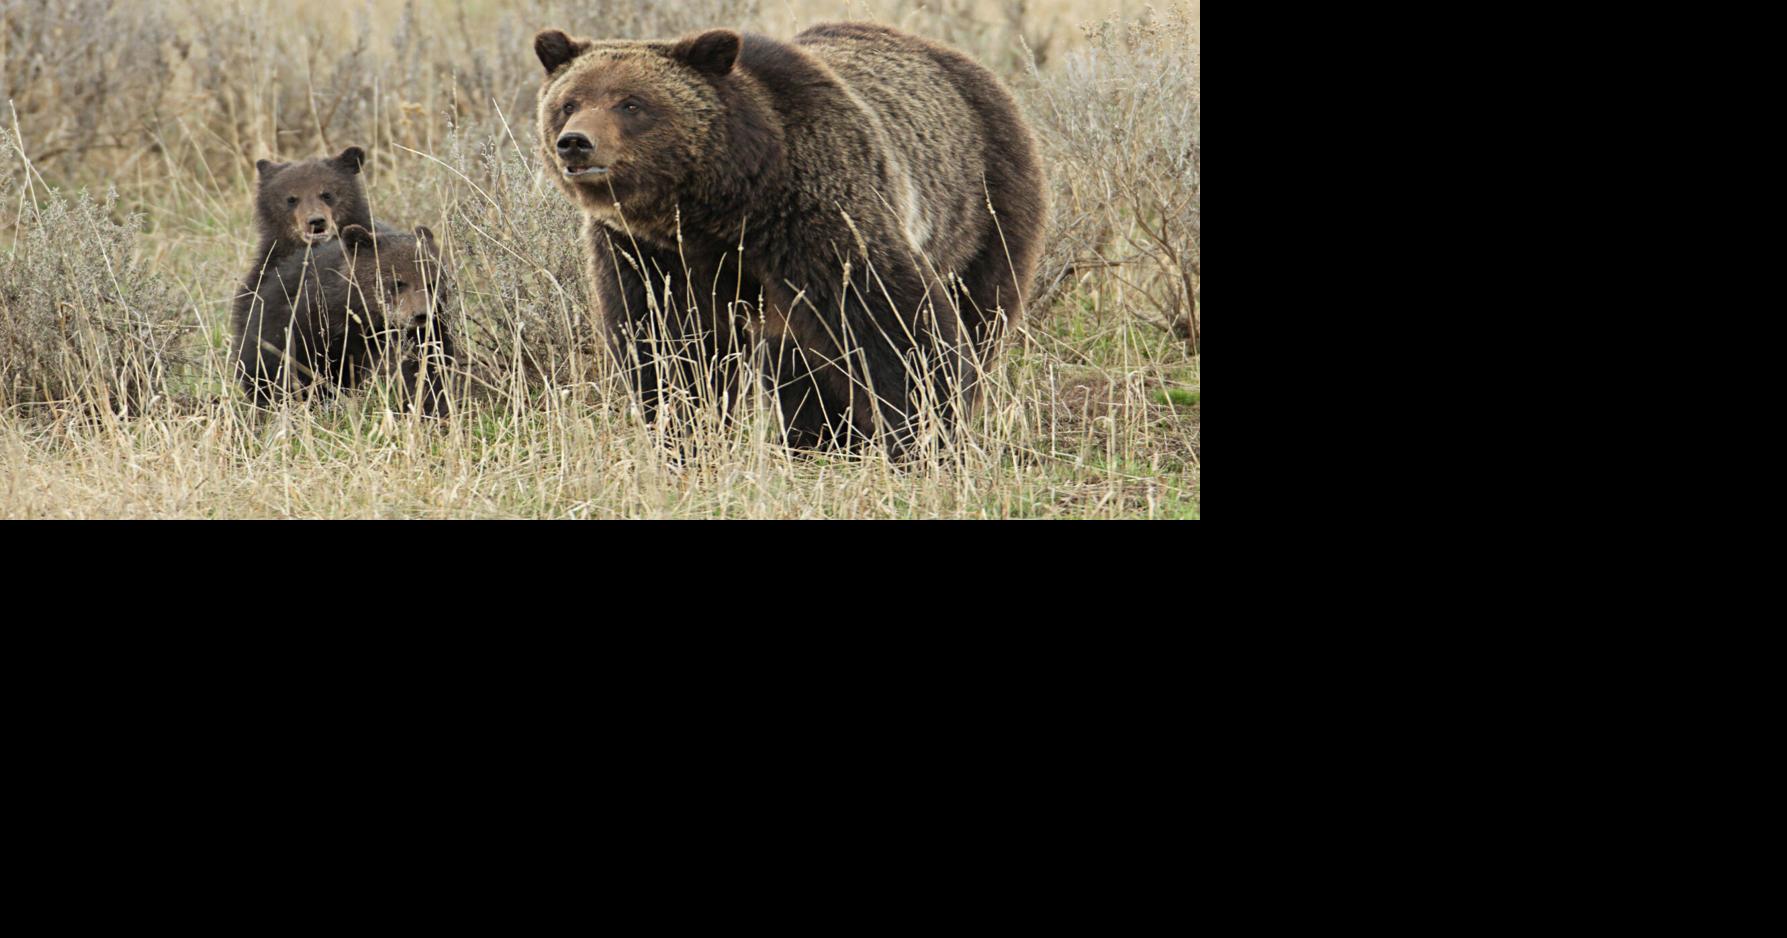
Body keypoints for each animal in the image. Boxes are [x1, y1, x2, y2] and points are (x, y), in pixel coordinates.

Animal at [533, 21, 1046, 454]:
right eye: (569, 102)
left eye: (631, 103)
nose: (576, 142)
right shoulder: (649, 252)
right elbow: (670, 344)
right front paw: (684, 434)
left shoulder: (816, 215)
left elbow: (895, 322)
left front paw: (926, 436)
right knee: (798, 363)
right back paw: (816, 438)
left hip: (982, 205)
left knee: (981, 309)